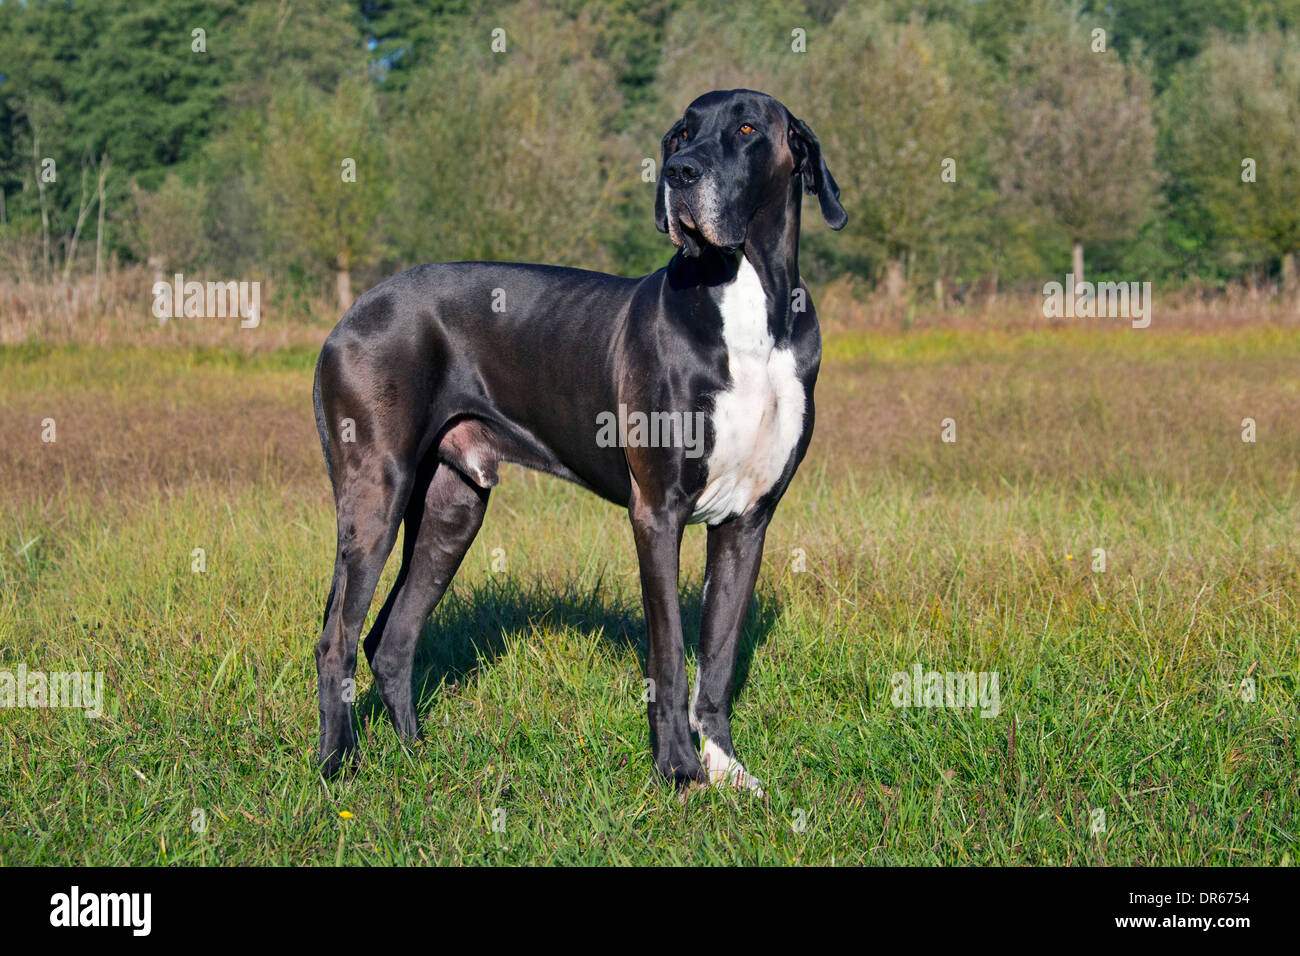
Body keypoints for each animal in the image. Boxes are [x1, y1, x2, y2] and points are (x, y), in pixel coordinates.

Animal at [312, 89, 842, 790]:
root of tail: (350, 314)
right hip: (378, 487)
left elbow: (720, 657)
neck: (749, 302)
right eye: (681, 135)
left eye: (748, 128)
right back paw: (338, 763)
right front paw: (679, 772)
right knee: (337, 640)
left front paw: (724, 767)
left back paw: (415, 756)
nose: (680, 173)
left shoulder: (748, 520)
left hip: (454, 506)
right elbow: (671, 654)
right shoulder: (658, 510)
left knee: (391, 639)